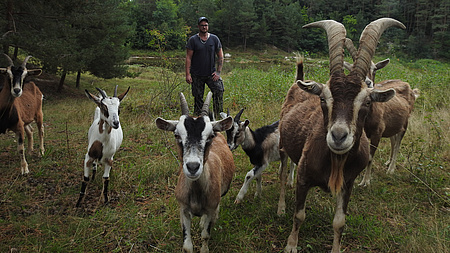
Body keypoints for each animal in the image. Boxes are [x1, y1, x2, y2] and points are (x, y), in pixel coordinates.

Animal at [280, 18, 406, 253]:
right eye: (323, 99)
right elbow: (299, 215)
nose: (338, 137)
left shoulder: (348, 182)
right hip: (282, 145)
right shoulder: (304, 177)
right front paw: (291, 245)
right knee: (283, 174)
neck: (335, 161)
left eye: (367, 101)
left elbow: (339, 222)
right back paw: (281, 207)